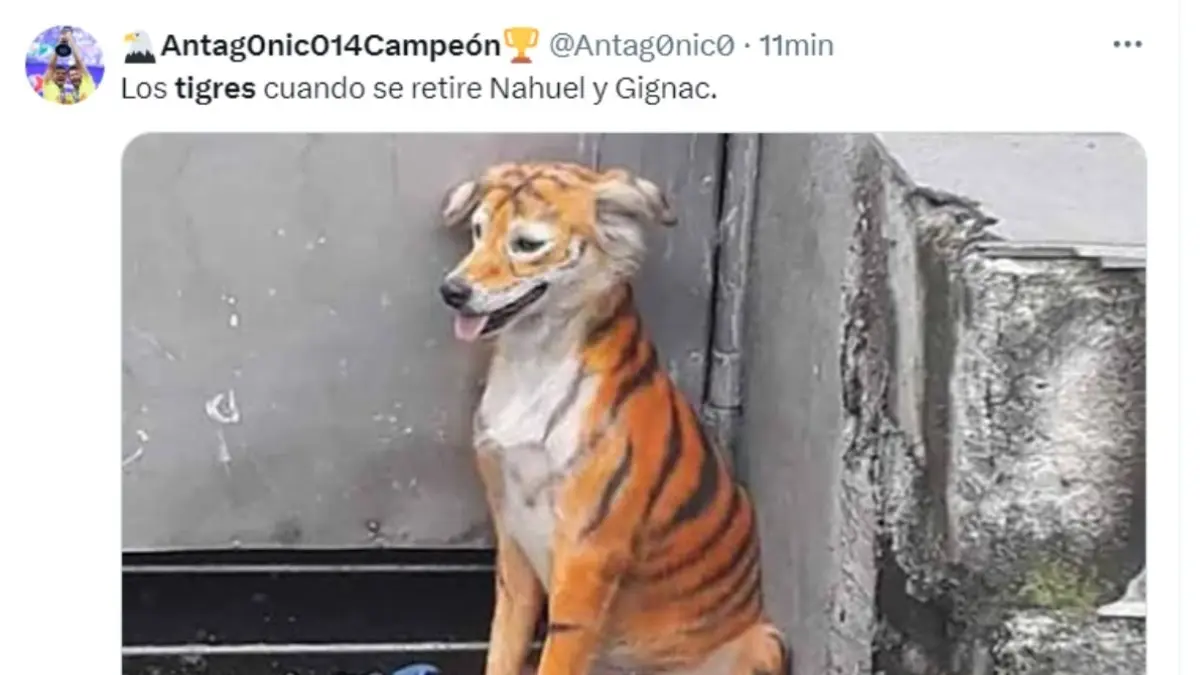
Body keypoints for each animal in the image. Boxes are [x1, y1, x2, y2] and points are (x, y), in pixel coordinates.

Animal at [436, 161, 789, 675]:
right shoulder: (512, 534)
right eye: (478, 231)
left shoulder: (587, 555)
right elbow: (503, 645)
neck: (532, 357)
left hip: (764, 643)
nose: (451, 291)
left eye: (527, 244)